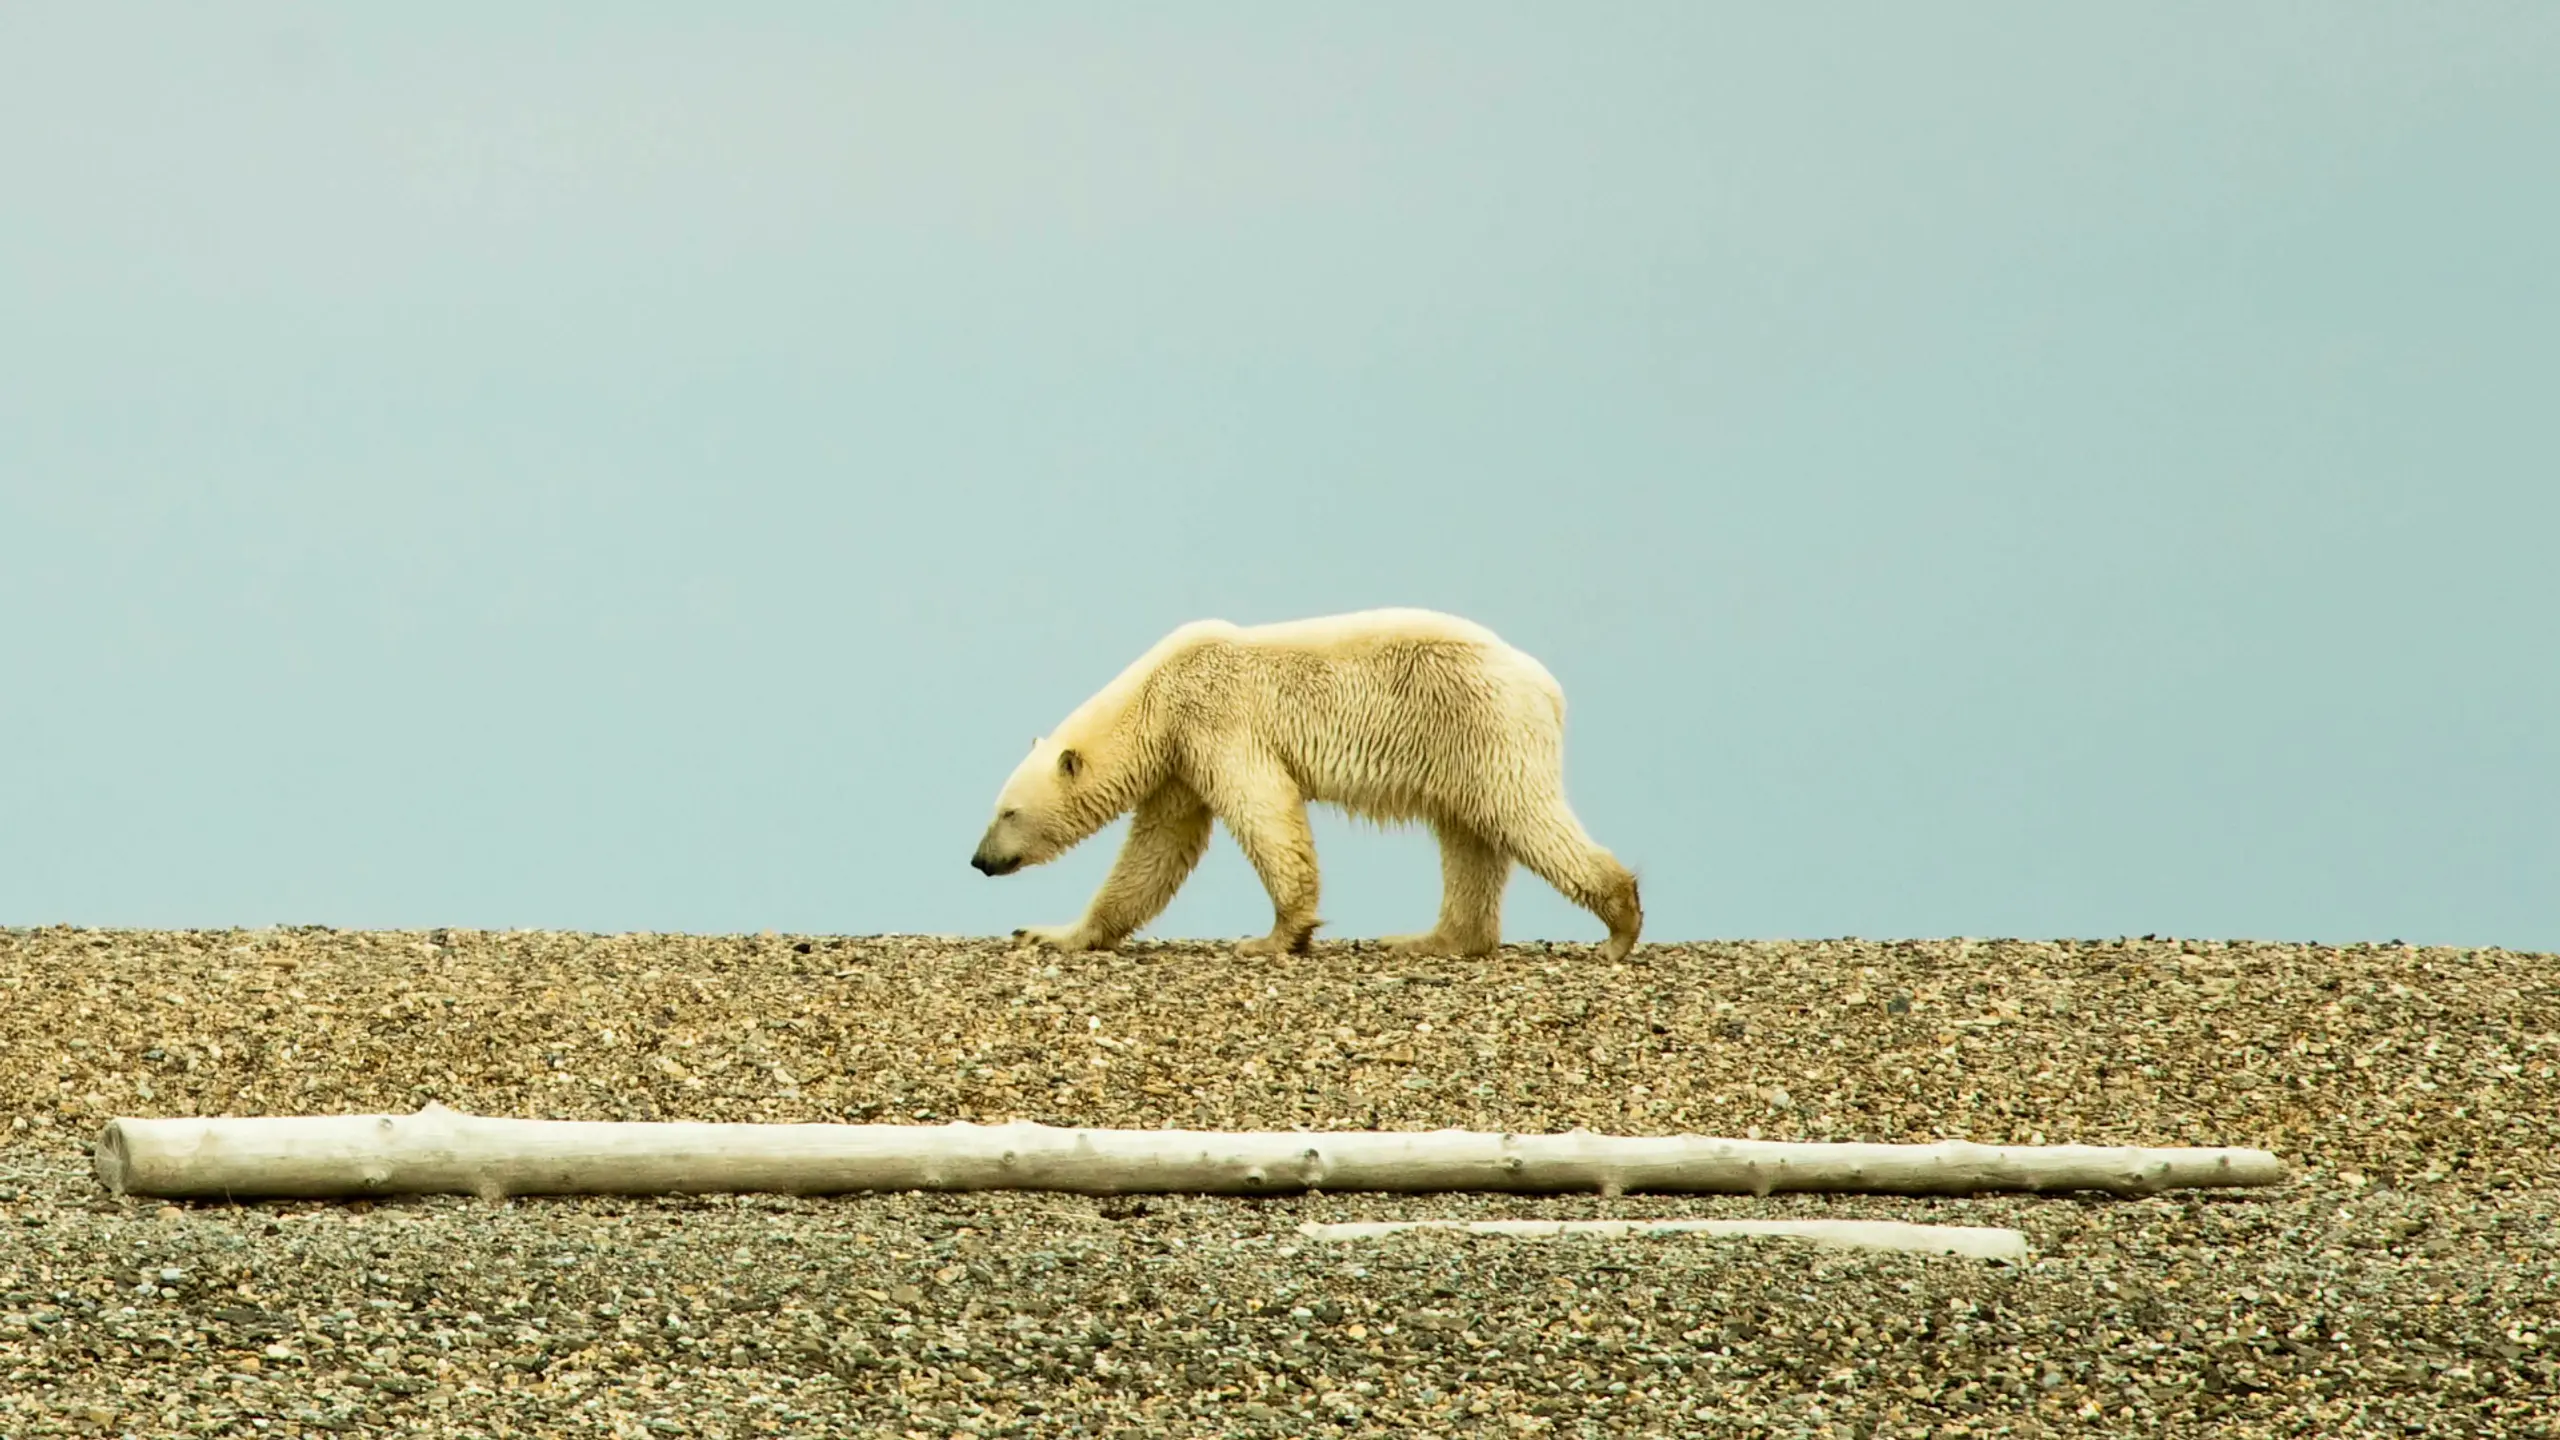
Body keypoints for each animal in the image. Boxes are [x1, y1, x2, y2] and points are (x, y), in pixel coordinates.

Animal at [962, 599, 1638, 958]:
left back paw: (1620, 925)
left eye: (1006, 812)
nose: (979, 861)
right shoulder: (1180, 760)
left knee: (1522, 816)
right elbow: (1156, 849)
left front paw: (1273, 938)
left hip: (1484, 724)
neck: (1159, 691)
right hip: (1461, 748)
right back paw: (1428, 939)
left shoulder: (1216, 720)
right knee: (1468, 835)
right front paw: (1050, 931)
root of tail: (1547, 687)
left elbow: (1264, 810)